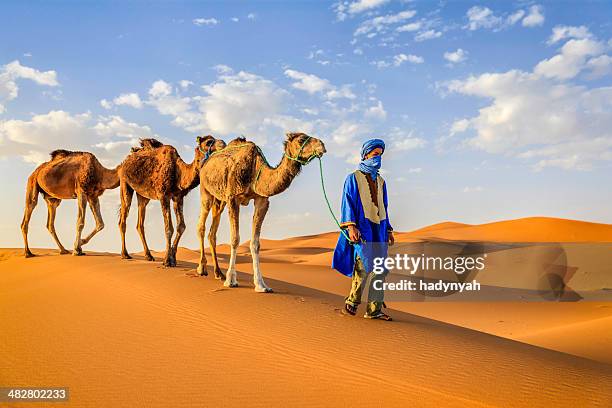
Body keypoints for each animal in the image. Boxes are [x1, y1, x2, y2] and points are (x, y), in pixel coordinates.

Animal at [118, 135, 224, 266]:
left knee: (140, 223)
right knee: (123, 218)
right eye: (209, 142)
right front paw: (167, 260)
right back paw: (125, 254)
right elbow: (168, 228)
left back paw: (149, 255)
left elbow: (181, 226)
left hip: (143, 195)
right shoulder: (164, 196)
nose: (223, 143)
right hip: (124, 183)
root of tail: (126, 159)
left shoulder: (178, 197)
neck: (179, 173)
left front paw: (173, 257)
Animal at [198, 132, 328, 292]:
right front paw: (231, 280)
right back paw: (202, 269)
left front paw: (261, 285)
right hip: (205, 191)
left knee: (212, 232)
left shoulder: (262, 201)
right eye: (301, 139)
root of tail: (205, 162)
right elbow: (235, 239)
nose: (322, 145)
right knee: (201, 225)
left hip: (220, 200)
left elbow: (255, 243)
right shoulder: (233, 198)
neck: (254, 170)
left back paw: (218, 273)